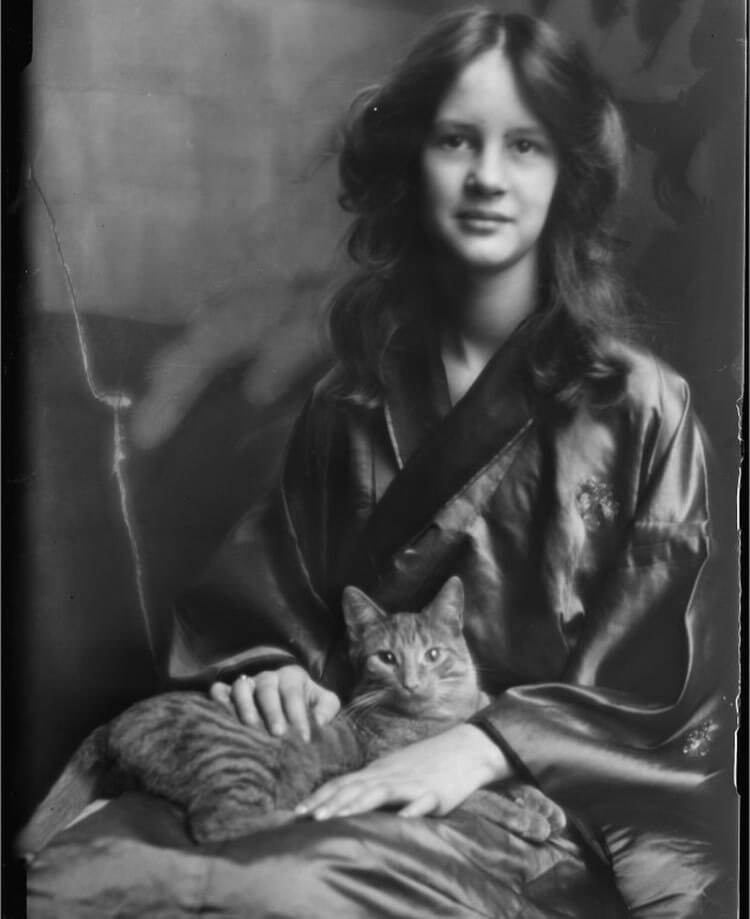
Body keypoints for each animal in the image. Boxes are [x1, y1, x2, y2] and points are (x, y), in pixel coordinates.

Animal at [17, 580, 564, 860]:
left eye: (432, 654)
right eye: (386, 658)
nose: (411, 680)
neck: (441, 717)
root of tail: (117, 720)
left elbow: (512, 772)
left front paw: (543, 801)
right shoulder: (401, 767)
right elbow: (482, 797)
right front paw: (526, 816)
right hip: (242, 758)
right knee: (214, 824)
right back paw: (304, 811)